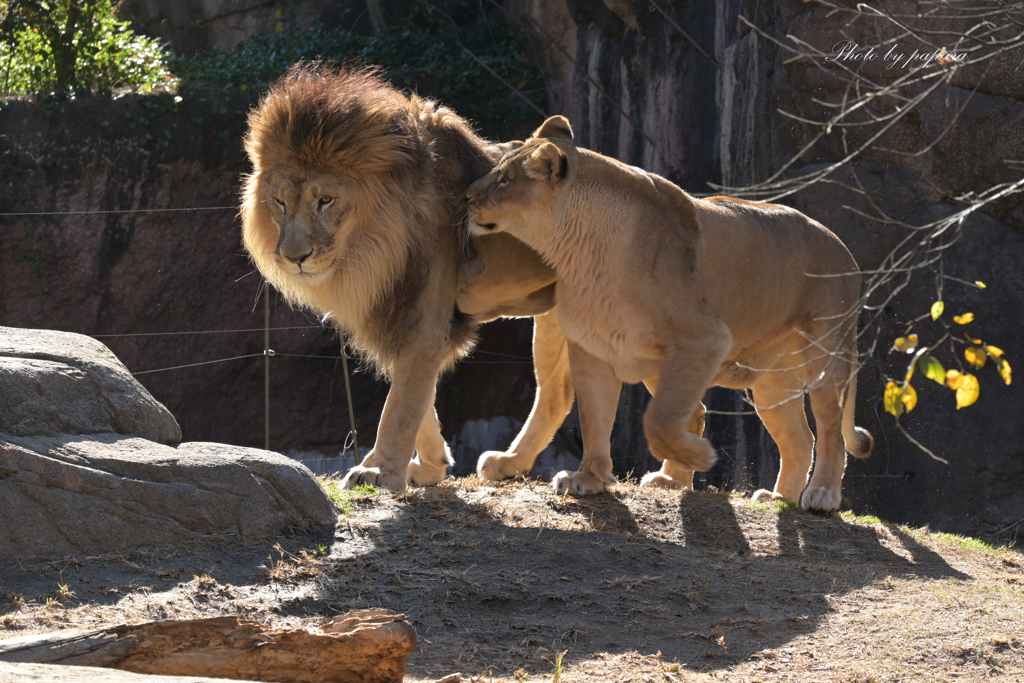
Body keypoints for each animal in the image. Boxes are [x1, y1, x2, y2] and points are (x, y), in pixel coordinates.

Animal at [464, 116, 872, 511]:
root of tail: (845, 251)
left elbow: (658, 420)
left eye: (504, 179)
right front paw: (589, 478)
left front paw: (699, 457)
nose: (466, 196)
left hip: (825, 354)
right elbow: (595, 417)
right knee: (798, 437)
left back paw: (821, 495)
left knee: (829, 428)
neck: (580, 248)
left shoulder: (705, 338)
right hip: (770, 381)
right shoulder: (592, 348)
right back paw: (774, 497)